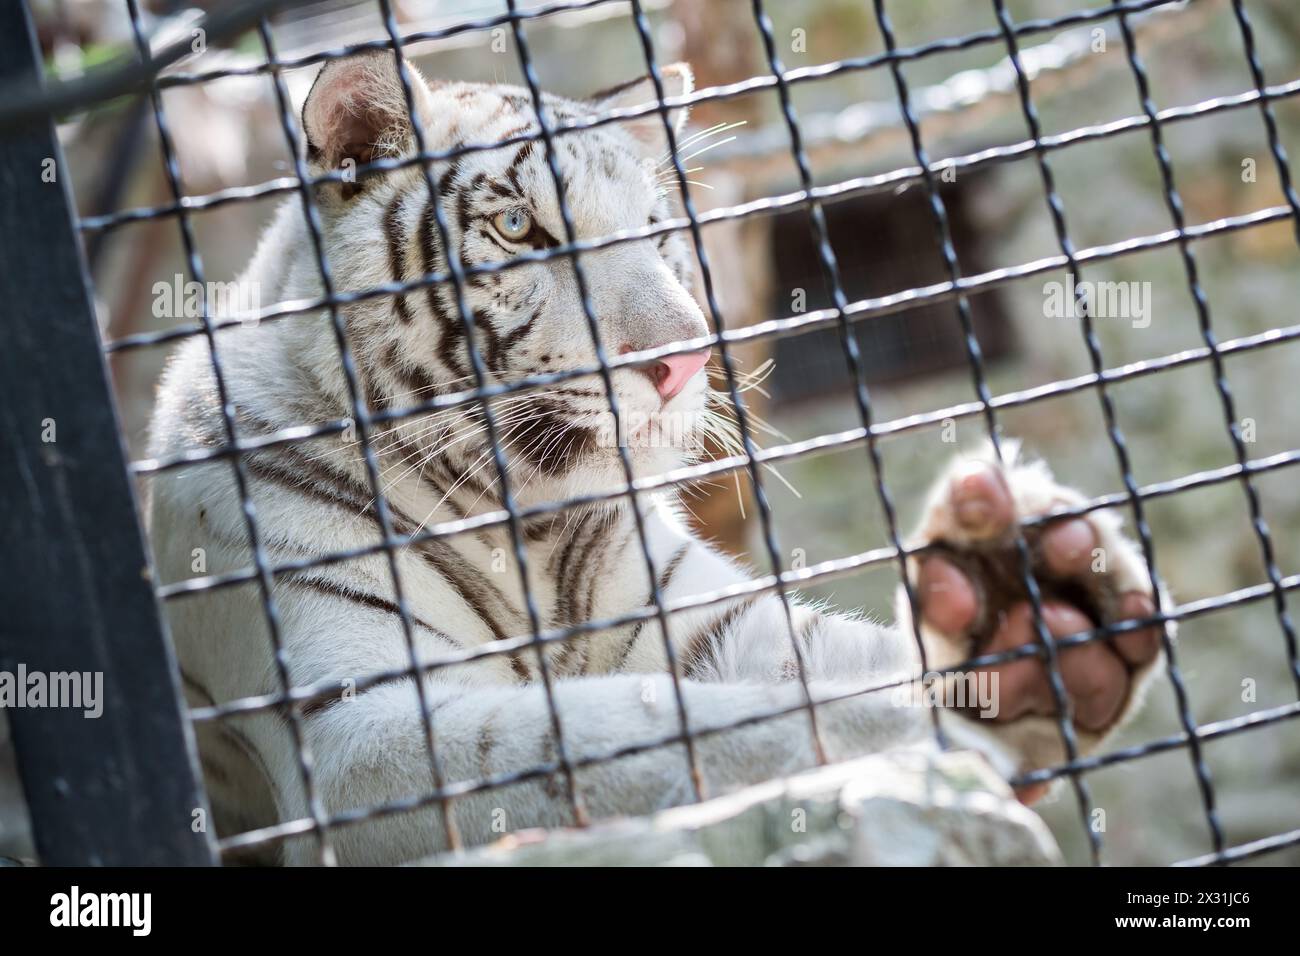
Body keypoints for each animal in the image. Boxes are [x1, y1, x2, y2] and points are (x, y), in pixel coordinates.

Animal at [146, 51, 1165, 865]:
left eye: (651, 225)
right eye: (518, 230)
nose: (685, 359)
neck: (522, 522)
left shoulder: (697, 620)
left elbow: (824, 656)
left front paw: (1023, 618)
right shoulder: (360, 729)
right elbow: (632, 730)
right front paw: (916, 733)